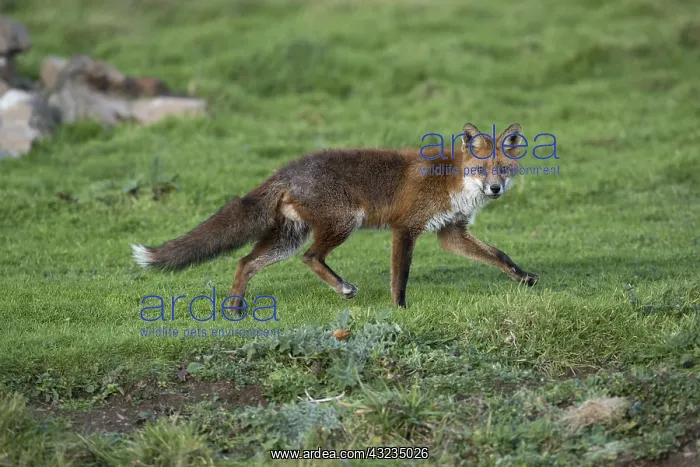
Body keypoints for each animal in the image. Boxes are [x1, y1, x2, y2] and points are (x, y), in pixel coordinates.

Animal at [131, 122, 539, 309]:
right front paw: (399, 308)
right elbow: (400, 276)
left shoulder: (451, 232)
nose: (495, 189)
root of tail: (287, 170)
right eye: (482, 170)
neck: (451, 180)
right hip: (344, 222)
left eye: (503, 169)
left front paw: (524, 278)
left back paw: (234, 308)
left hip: (288, 239)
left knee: (246, 261)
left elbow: (499, 255)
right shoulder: (405, 227)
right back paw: (342, 287)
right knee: (311, 257)